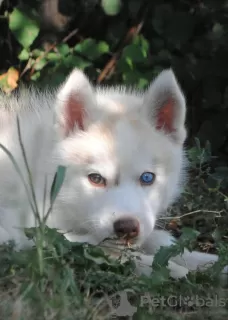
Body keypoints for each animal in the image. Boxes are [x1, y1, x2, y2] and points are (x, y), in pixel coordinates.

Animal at [0, 69, 223, 278]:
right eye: (96, 179)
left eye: (147, 178)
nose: (127, 228)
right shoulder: (37, 232)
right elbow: (103, 246)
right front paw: (167, 267)